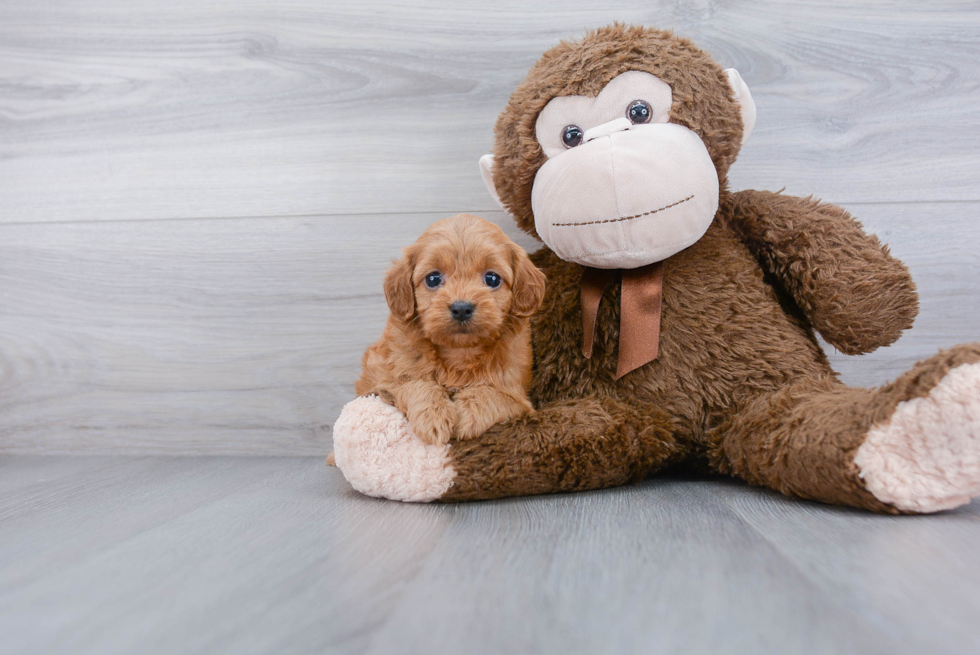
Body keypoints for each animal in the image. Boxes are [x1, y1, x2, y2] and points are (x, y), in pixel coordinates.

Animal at [334, 215, 548, 462]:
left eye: (492, 279)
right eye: (433, 278)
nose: (462, 308)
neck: (459, 353)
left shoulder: (519, 399)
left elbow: (494, 394)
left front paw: (468, 415)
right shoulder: (382, 383)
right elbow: (414, 383)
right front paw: (433, 416)